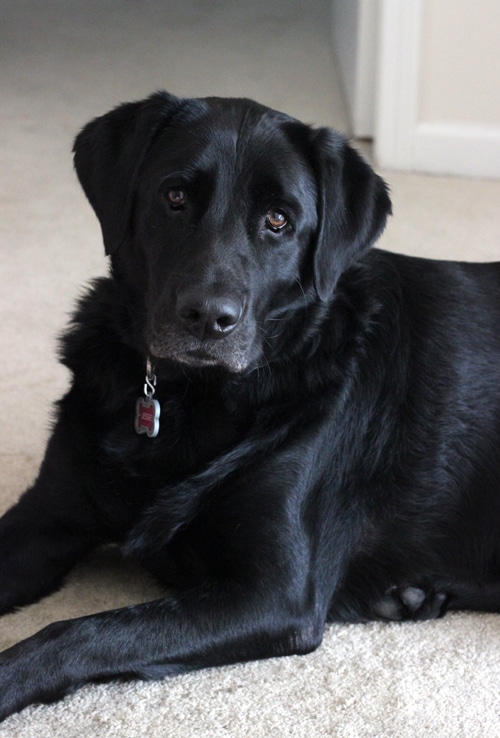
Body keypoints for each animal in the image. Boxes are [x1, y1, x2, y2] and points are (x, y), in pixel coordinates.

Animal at [0, 92, 500, 720]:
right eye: (175, 196)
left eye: (279, 220)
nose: (208, 318)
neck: (190, 393)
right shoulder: (44, 519)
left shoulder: (273, 595)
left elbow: (78, 631)